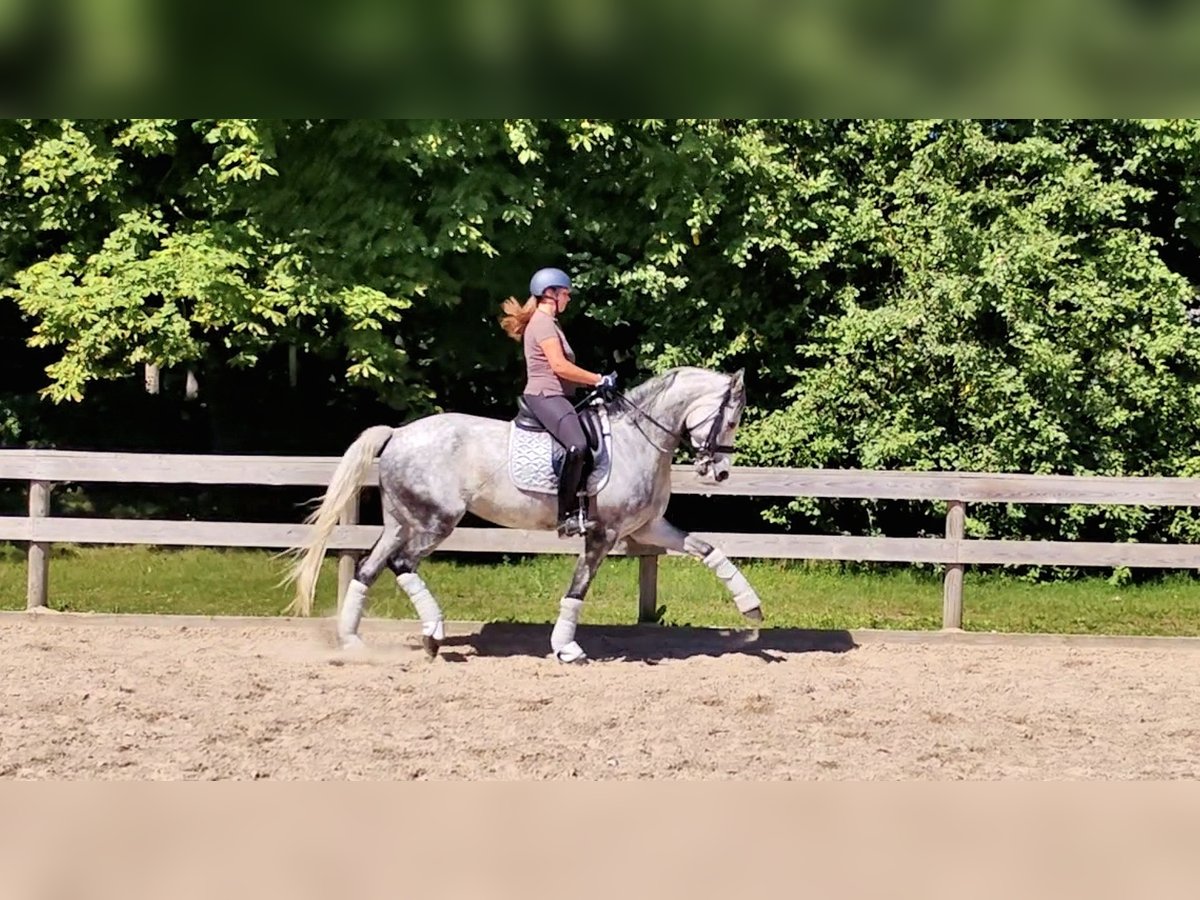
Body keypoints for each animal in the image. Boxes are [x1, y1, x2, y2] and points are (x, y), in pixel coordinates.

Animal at [283, 367, 758, 662]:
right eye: (732, 419)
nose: (720, 472)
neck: (635, 440)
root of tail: (398, 433)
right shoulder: (602, 533)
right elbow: (578, 588)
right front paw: (566, 648)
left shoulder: (648, 528)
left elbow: (708, 549)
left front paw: (751, 609)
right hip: (435, 522)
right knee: (401, 565)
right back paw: (433, 634)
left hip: (401, 523)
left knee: (368, 569)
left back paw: (352, 641)